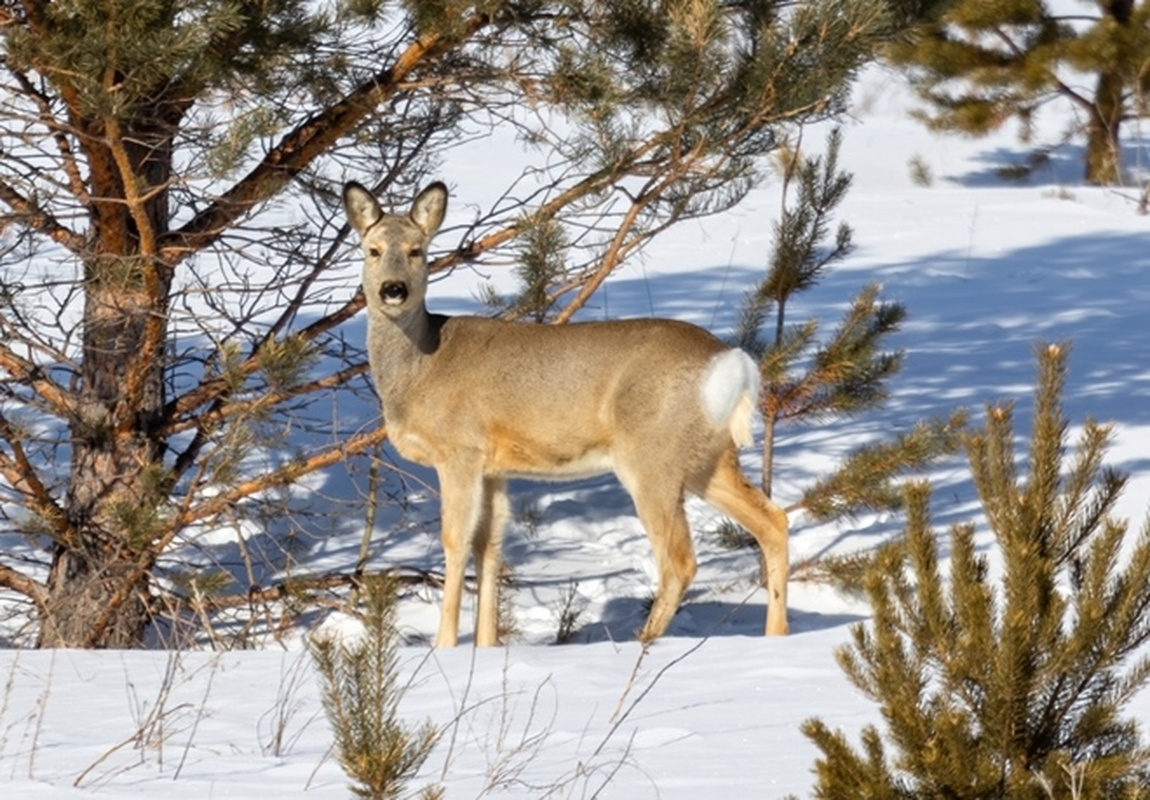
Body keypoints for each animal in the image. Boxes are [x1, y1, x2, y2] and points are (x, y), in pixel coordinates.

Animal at [340, 181, 791, 648]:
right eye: (372, 250)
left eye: (418, 251)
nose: (393, 289)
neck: (422, 367)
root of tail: (733, 362)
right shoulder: (494, 466)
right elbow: (489, 548)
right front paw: (485, 647)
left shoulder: (460, 450)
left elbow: (455, 541)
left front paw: (445, 647)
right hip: (708, 457)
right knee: (773, 521)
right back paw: (777, 636)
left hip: (651, 454)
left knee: (680, 560)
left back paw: (643, 642)